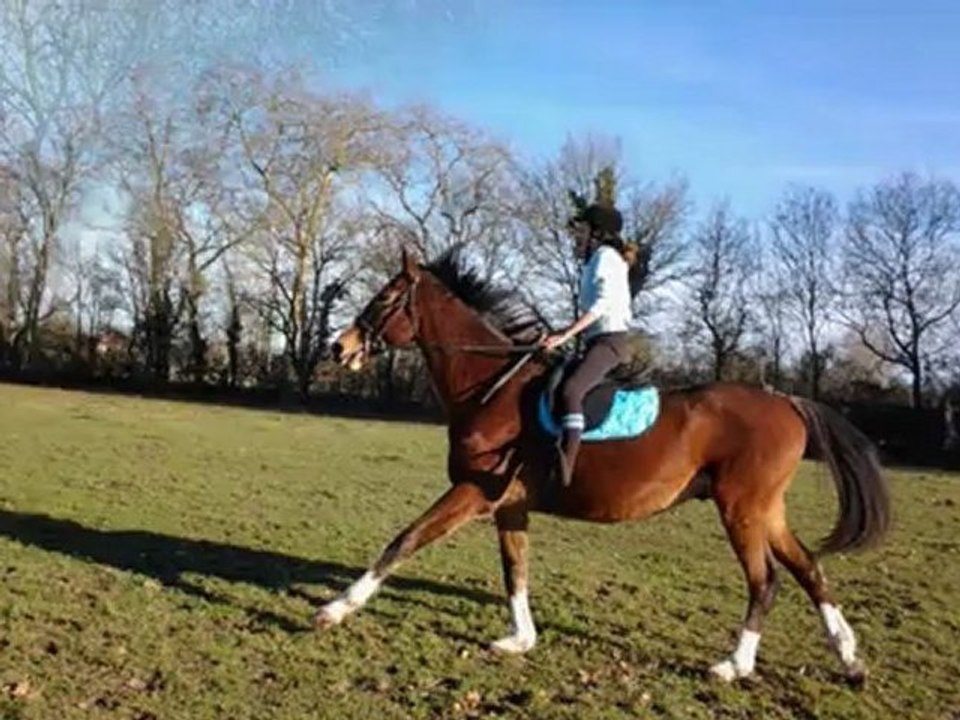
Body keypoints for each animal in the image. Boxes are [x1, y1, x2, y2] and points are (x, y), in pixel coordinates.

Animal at [316, 246, 891, 685]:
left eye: (385, 298)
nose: (338, 347)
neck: (490, 390)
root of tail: (786, 400)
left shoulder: (474, 492)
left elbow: (405, 540)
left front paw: (337, 608)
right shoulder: (510, 505)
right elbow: (515, 570)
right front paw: (520, 639)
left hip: (742, 509)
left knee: (766, 580)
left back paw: (734, 665)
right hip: (765, 509)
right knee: (808, 568)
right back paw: (849, 658)